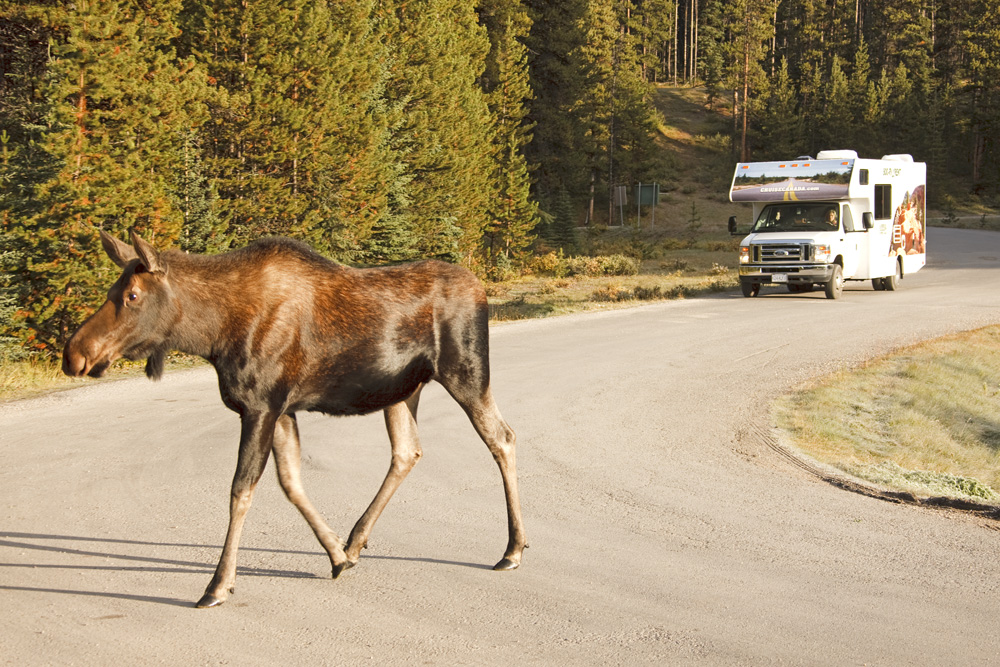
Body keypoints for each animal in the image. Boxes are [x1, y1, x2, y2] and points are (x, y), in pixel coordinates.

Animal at [62, 232, 528, 608]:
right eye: (113, 288)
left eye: (132, 295)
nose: (75, 354)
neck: (212, 335)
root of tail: (481, 289)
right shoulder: (282, 409)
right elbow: (291, 483)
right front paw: (336, 555)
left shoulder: (261, 405)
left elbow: (241, 490)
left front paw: (218, 585)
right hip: (401, 390)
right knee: (407, 451)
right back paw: (355, 541)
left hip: (466, 371)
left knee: (502, 437)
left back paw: (512, 549)